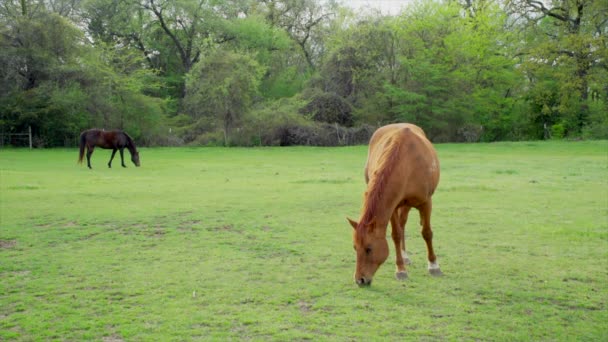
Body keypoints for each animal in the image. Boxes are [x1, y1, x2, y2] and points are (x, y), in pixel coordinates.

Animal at [346, 123, 442, 286]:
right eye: (354, 247)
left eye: (369, 249)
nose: (360, 280)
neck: (407, 163)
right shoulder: (392, 207)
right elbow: (396, 235)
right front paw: (401, 269)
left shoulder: (426, 202)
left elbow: (427, 233)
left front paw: (434, 266)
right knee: (401, 227)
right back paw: (404, 256)